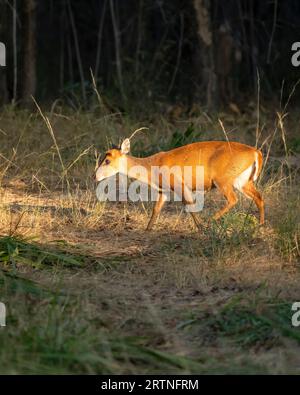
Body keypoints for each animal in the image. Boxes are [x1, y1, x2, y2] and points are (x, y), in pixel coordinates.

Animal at [95, 140, 264, 230]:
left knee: (233, 199)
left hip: (223, 179)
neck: (152, 167)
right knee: (259, 197)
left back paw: (210, 221)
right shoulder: (164, 190)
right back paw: (260, 224)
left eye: (107, 161)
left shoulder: (179, 184)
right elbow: (156, 209)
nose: (95, 176)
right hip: (242, 180)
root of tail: (256, 153)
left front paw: (200, 228)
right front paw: (148, 229)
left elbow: (189, 205)